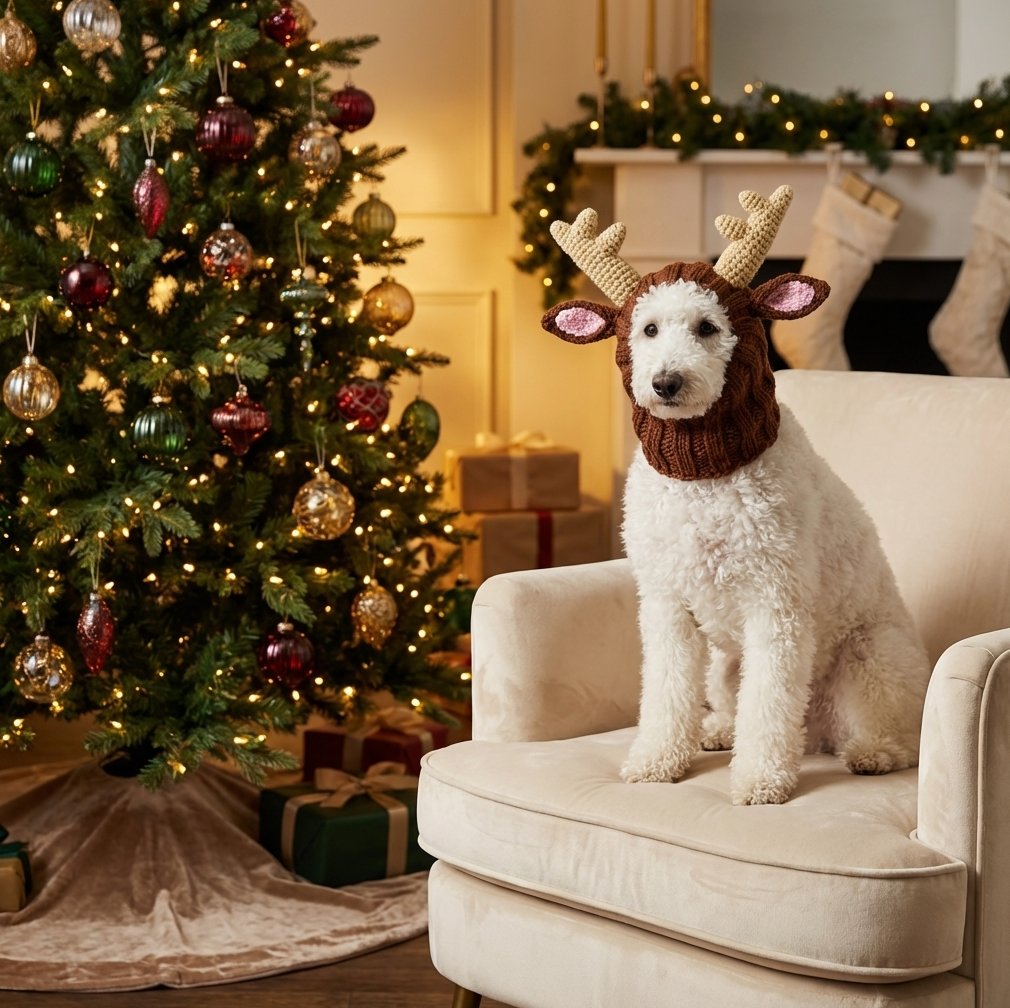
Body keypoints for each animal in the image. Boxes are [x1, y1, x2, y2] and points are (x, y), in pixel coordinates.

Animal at [541, 186, 930, 805]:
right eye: (648, 330)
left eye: (707, 327)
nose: (666, 383)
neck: (705, 477)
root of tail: (817, 733)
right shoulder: (667, 605)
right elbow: (666, 691)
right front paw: (657, 760)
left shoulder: (777, 606)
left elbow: (768, 704)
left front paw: (761, 780)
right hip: (726, 666)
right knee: (736, 704)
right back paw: (719, 730)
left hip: (872, 656)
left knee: (895, 733)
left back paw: (871, 752)